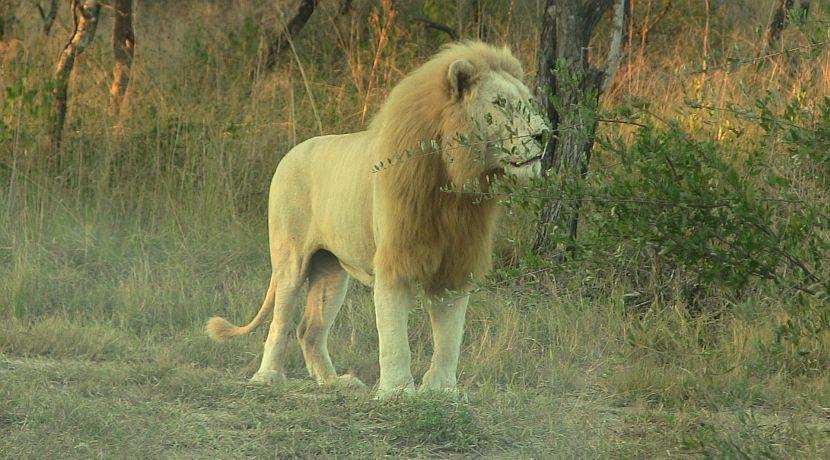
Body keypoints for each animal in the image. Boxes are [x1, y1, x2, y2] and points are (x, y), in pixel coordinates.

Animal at [206, 41, 552, 398]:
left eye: (528, 102)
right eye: (500, 104)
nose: (544, 134)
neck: (451, 185)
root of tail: (291, 152)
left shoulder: (455, 263)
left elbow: (449, 336)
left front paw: (442, 390)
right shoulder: (395, 259)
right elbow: (394, 334)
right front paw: (397, 392)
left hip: (330, 268)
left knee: (309, 328)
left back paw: (335, 382)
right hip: (291, 258)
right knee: (282, 320)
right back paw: (268, 377)